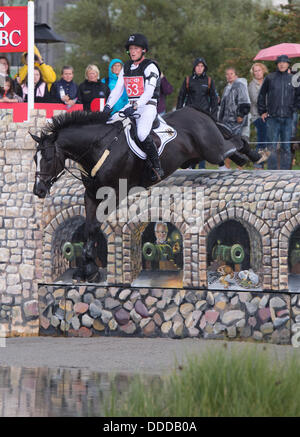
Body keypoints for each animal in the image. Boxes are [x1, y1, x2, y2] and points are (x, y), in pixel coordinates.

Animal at [30, 107, 256, 282]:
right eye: (34, 158)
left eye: (48, 158)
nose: (38, 190)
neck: (99, 148)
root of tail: (195, 111)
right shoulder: (91, 195)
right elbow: (88, 228)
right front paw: (86, 268)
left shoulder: (116, 193)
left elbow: (94, 226)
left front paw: (89, 269)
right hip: (203, 153)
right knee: (232, 143)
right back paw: (246, 158)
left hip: (212, 151)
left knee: (236, 141)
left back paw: (254, 155)